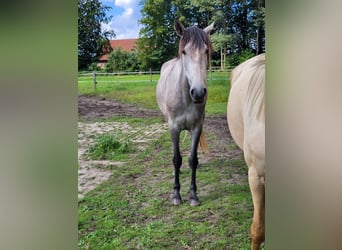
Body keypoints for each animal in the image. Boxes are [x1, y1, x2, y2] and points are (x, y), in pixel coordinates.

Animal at [157, 19, 214, 206]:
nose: (198, 92)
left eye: (206, 50)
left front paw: (194, 195)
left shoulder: (196, 127)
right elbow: (177, 159)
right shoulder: (174, 127)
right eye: (184, 51)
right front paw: (176, 194)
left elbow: (192, 159)